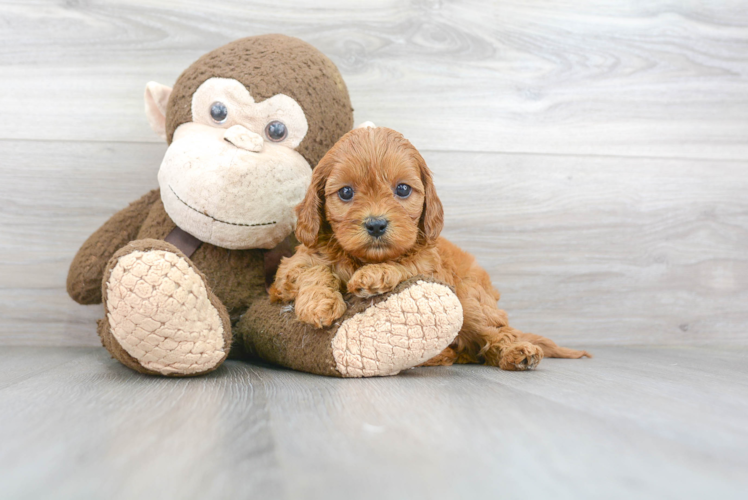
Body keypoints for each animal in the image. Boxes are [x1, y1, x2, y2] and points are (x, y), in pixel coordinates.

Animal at [268, 127, 592, 370]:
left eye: (402, 189)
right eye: (346, 192)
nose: (376, 225)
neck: (362, 258)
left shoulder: (431, 266)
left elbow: (406, 265)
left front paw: (374, 276)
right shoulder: (289, 270)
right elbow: (315, 270)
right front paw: (318, 304)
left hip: (471, 300)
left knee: (496, 332)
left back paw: (518, 352)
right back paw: (441, 355)